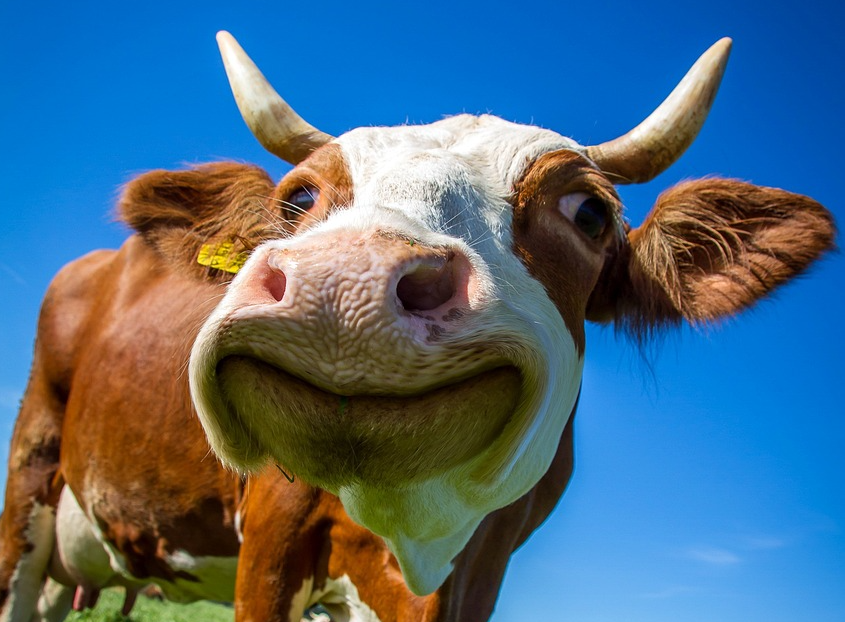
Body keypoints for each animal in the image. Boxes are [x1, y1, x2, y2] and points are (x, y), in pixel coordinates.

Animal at [0, 31, 834, 622]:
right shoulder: (269, 545)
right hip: (28, 483)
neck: (417, 548)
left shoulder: (483, 568)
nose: (343, 283)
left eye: (589, 213)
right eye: (297, 200)